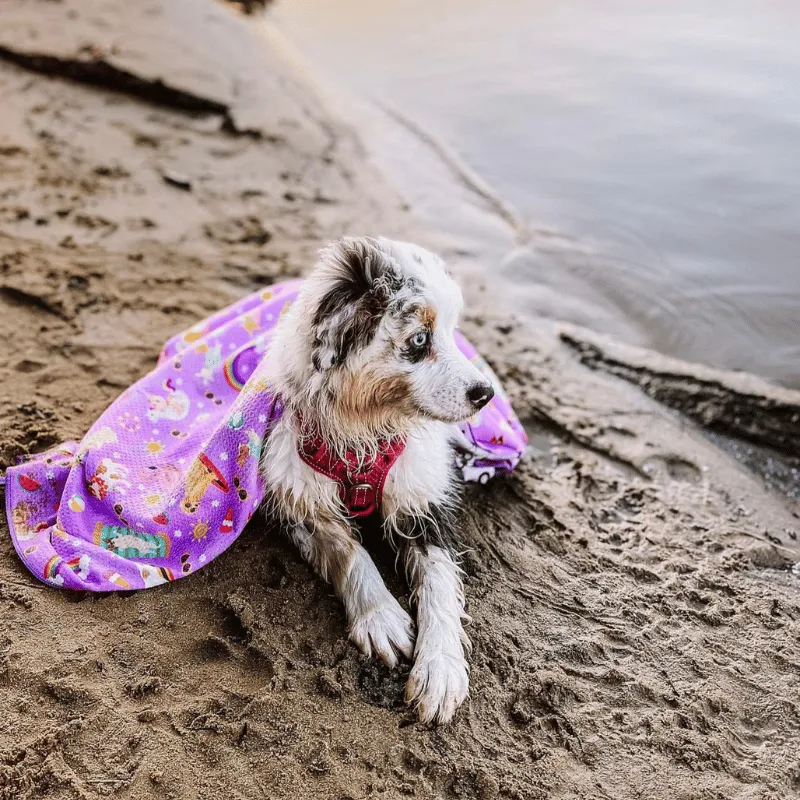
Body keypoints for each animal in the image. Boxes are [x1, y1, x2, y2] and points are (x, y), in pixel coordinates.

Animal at [260, 236, 494, 724]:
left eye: (453, 330)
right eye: (420, 339)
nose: (486, 393)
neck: (366, 429)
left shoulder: (423, 498)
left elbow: (439, 581)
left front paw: (440, 670)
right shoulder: (298, 492)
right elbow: (347, 551)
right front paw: (382, 619)